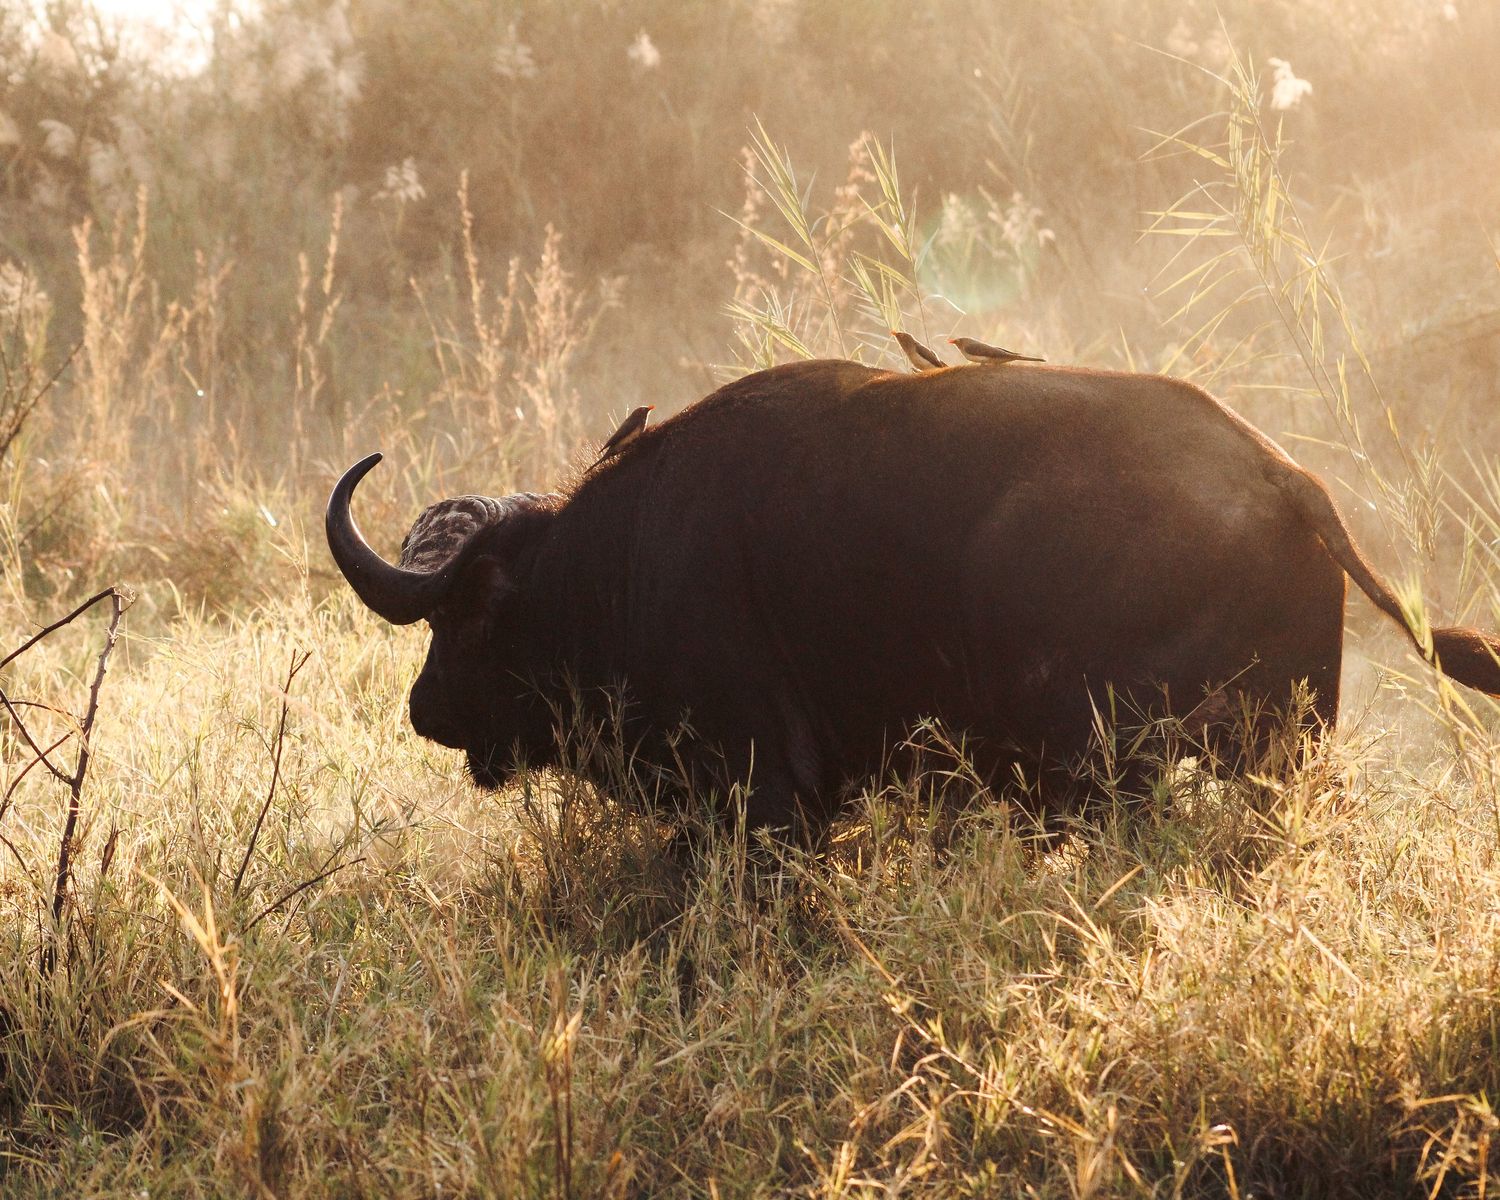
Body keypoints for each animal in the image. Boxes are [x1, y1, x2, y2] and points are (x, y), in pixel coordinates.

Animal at [327, 359, 1500, 839]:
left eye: (468, 613)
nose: (424, 710)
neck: (615, 565)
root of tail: (1284, 479)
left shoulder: (759, 797)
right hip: (1283, 754)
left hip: (1108, 764)